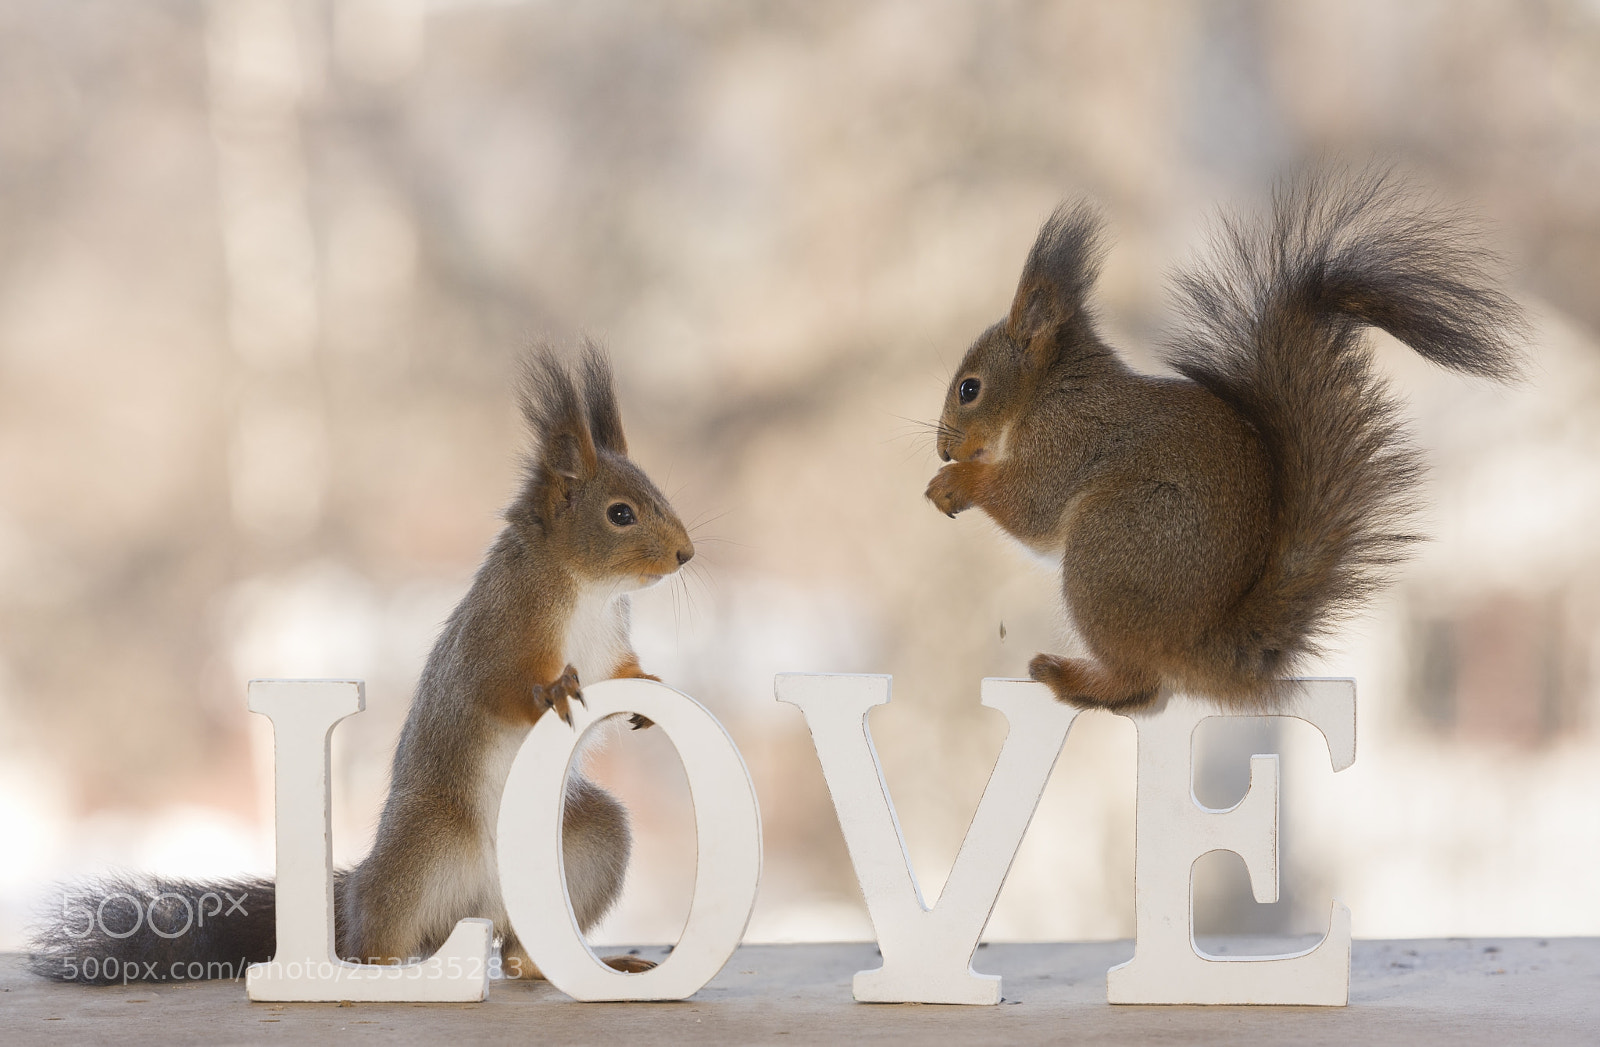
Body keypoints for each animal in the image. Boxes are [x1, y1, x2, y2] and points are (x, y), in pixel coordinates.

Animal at [30, 345, 694, 982]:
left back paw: (593, 965)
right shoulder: (497, 632)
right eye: (620, 513)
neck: (586, 590)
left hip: (586, 843)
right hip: (417, 850)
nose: (686, 554)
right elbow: (496, 689)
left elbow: (619, 677)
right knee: (373, 932)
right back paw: (369, 968)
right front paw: (550, 693)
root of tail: (482, 903)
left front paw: (652, 691)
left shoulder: (608, 645)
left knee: (519, 956)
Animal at [925, 170, 1524, 712]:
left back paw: (1072, 678)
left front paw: (955, 482)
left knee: (1140, 685)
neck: (1047, 393)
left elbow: (1033, 507)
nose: (944, 449)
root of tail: (1202, 648)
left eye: (969, 389)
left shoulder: (1069, 439)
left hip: (1111, 552)